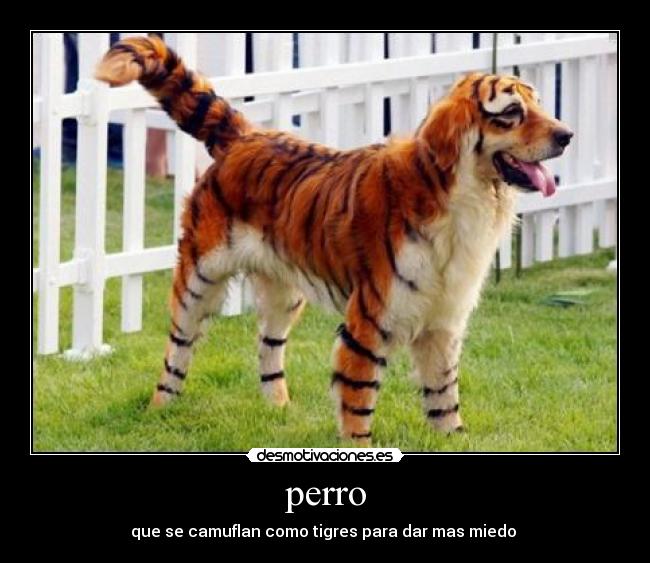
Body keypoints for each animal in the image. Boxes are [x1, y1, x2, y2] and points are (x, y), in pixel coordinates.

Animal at [95, 35, 573, 445]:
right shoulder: (369, 322)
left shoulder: (444, 320)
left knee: (268, 347)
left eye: (539, 104)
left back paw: (278, 410)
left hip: (284, 292)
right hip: (199, 278)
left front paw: (453, 440)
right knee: (177, 348)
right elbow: (359, 403)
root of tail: (246, 135)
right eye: (512, 111)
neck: (465, 199)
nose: (567, 135)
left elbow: (444, 398)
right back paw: (160, 410)